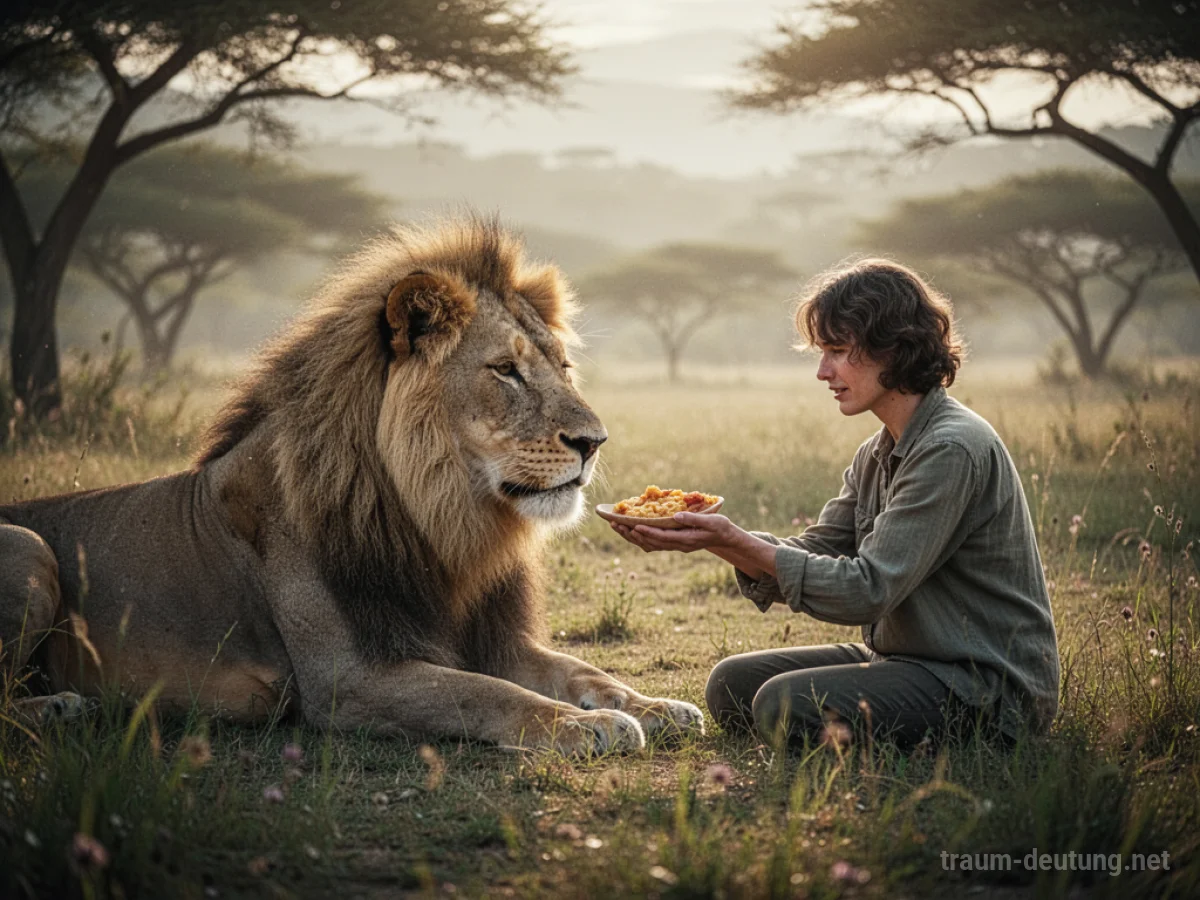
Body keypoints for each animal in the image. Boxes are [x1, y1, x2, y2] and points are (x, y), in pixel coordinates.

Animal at [0, 217, 703, 754]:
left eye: (563, 367)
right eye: (505, 370)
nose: (594, 441)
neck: (441, 522)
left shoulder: (488, 637)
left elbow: (580, 667)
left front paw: (654, 705)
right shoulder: (349, 678)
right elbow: (485, 693)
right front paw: (587, 725)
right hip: (28, 547)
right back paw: (63, 708)